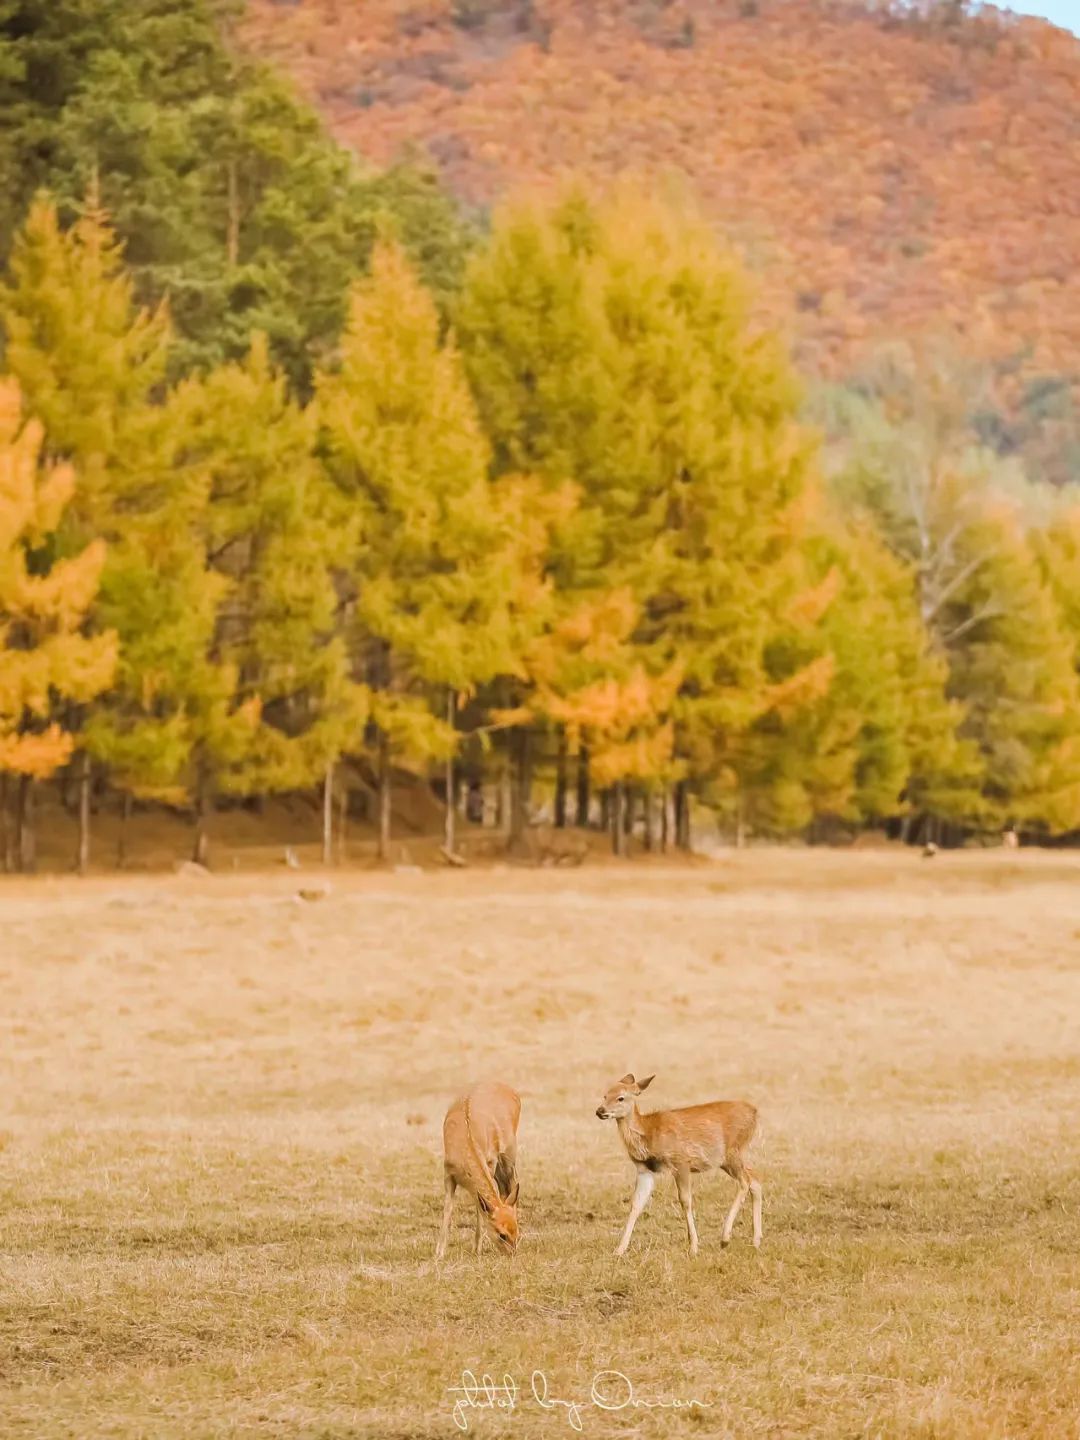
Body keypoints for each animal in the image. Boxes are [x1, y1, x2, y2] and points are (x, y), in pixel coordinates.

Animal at [440, 1082, 524, 1261]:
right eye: (502, 1234)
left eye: (517, 1232)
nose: (512, 1254)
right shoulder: (448, 1172)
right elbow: (448, 1209)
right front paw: (439, 1253)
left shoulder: (490, 1161)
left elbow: (480, 1208)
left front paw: (476, 1249)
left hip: (509, 1154)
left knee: (511, 1184)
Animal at [596, 1077, 766, 1255]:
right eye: (605, 1095)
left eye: (621, 1098)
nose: (600, 1111)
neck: (649, 1133)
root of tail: (754, 1112)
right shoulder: (644, 1169)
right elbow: (636, 1203)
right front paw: (619, 1250)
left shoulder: (681, 1161)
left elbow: (685, 1200)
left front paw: (693, 1247)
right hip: (728, 1159)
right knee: (755, 1179)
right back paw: (756, 1241)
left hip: (732, 1151)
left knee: (745, 1181)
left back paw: (725, 1238)